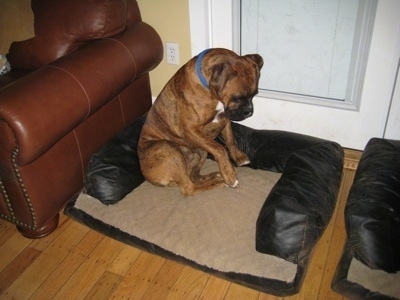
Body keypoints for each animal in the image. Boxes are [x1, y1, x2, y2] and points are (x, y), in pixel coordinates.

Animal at [138, 48, 262, 196]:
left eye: (254, 94)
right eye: (237, 98)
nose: (249, 111)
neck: (209, 88)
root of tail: (147, 176)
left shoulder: (225, 119)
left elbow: (230, 140)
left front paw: (238, 157)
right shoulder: (191, 129)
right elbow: (219, 148)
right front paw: (229, 174)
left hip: (200, 151)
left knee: (194, 177)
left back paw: (215, 176)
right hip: (167, 147)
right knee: (189, 188)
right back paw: (220, 181)